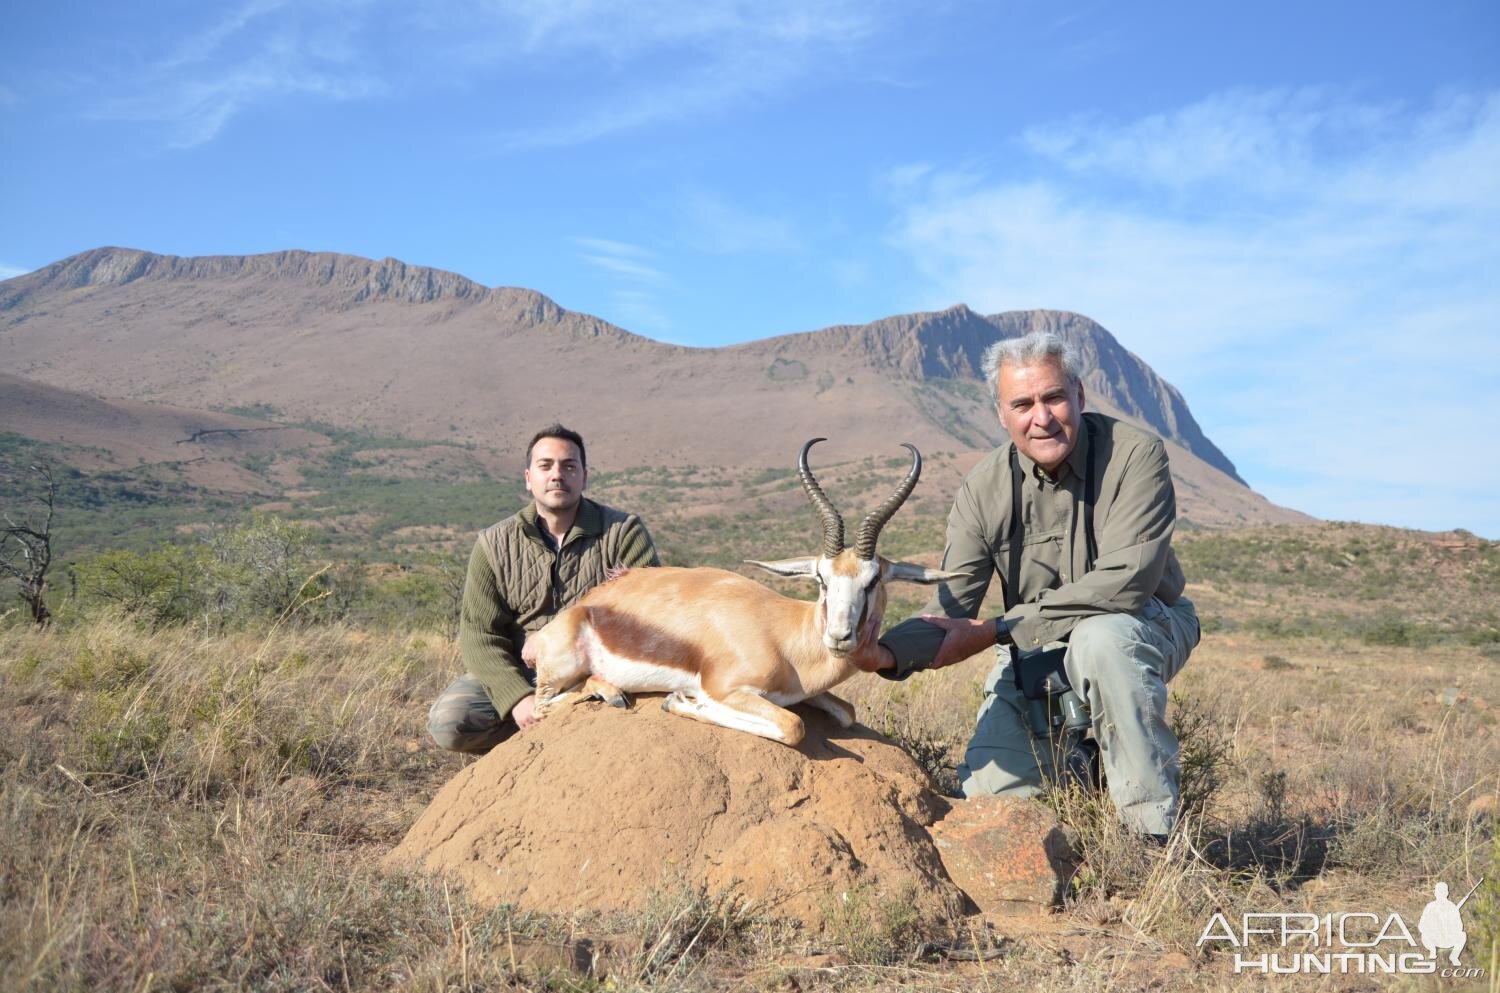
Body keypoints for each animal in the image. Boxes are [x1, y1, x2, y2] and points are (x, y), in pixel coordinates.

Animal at [522, 441, 954, 744]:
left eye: (874, 580)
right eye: (821, 578)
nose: (840, 636)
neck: (785, 638)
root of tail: (581, 609)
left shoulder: (799, 692)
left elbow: (846, 711)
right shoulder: (725, 688)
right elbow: (793, 727)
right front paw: (680, 699)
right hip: (559, 673)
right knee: (542, 706)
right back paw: (613, 693)